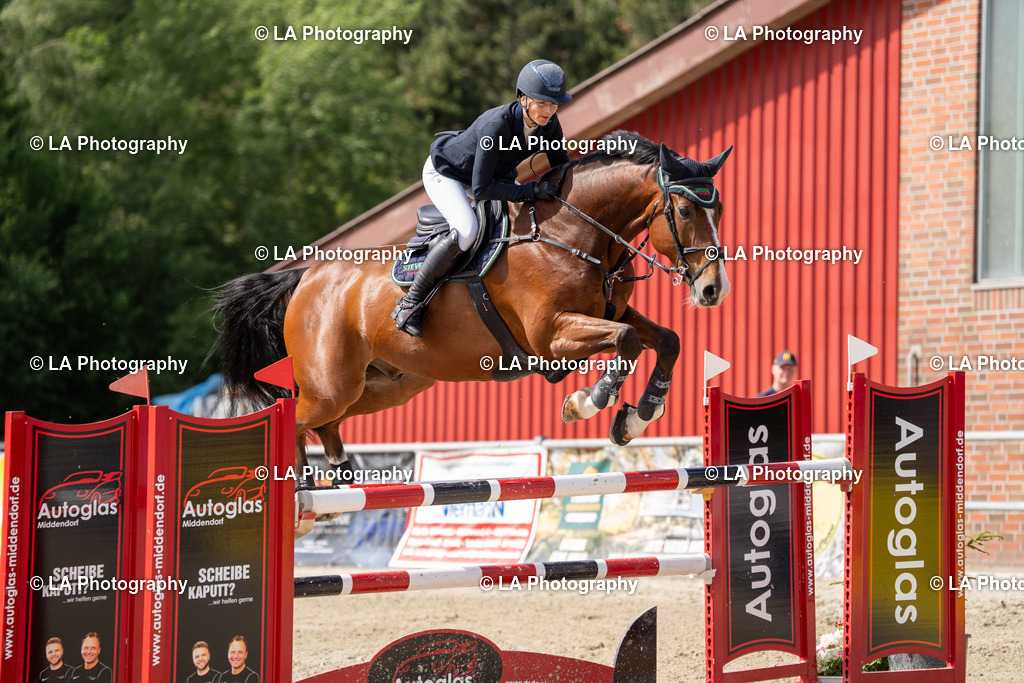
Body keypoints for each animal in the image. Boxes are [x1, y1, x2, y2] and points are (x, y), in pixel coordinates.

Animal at [210, 130, 732, 479]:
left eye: (720, 210)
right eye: (685, 210)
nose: (714, 290)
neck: (573, 234)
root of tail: (306, 278)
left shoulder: (611, 314)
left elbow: (666, 340)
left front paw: (637, 417)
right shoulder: (551, 336)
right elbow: (625, 343)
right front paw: (585, 402)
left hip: (382, 385)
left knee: (328, 424)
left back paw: (334, 478)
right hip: (330, 385)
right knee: (297, 420)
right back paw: (299, 491)